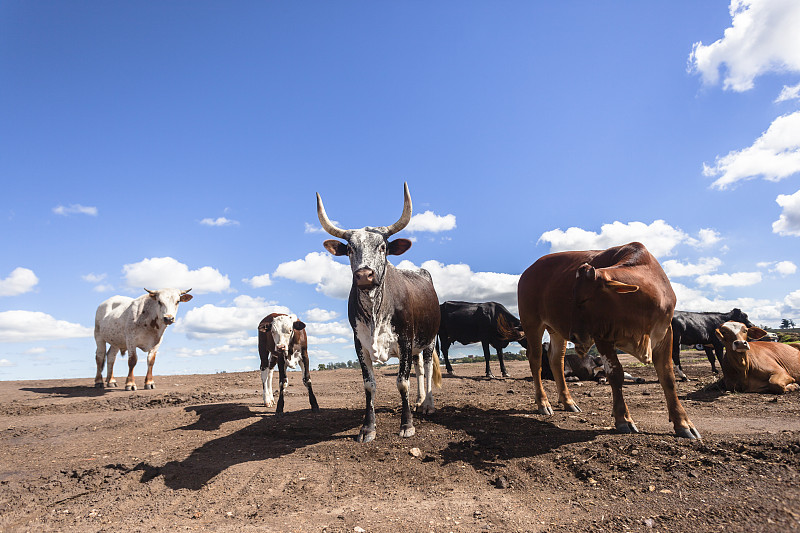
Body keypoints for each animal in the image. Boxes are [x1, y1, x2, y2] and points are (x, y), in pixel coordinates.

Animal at [318, 182, 444, 440]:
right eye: (349, 249)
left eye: (383, 247)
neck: (375, 310)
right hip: (416, 346)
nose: (364, 275)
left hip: (430, 338)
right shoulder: (360, 344)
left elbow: (402, 382)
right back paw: (419, 401)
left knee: (426, 367)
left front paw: (407, 424)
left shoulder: (405, 340)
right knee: (418, 368)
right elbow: (370, 385)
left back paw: (428, 405)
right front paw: (368, 427)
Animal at [520, 243, 700, 438]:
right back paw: (543, 403)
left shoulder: (665, 333)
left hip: (556, 331)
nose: (574, 336)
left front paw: (683, 423)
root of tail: (530, 270)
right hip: (532, 324)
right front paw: (623, 419)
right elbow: (615, 375)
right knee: (535, 360)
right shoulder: (602, 336)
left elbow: (668, 377)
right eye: (571, 298)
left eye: (584, 299)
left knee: (556, 360)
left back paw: (568, 402)